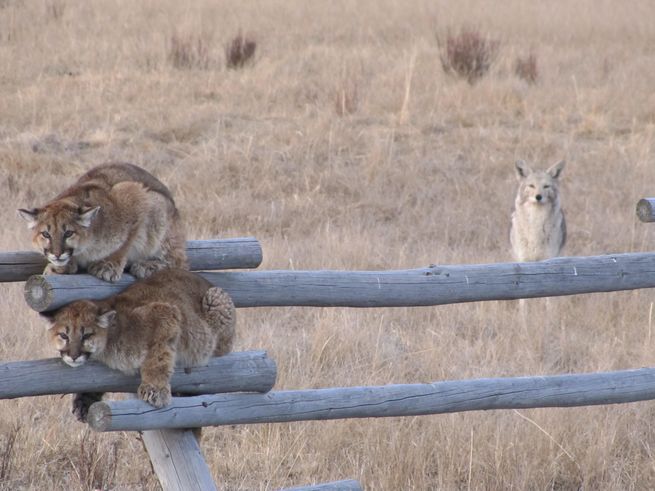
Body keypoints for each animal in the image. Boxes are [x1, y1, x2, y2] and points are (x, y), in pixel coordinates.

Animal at [18, 162, 187, 282]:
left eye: (68, 233)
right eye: (46, 234)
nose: (57, 254)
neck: (86, 247)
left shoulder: (135, 193)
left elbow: (126, 242)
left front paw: (108, 265)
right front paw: (60, 267)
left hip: (159, 209)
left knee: (179, 262)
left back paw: (148, 265)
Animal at [41, 268, 236, 422]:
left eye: (87, 335)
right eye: (64, 335)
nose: (73, 356)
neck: (109, 343)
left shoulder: (165, 313)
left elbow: (158, 357)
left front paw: (154, 390)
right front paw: (84, 401)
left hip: (215, 300)